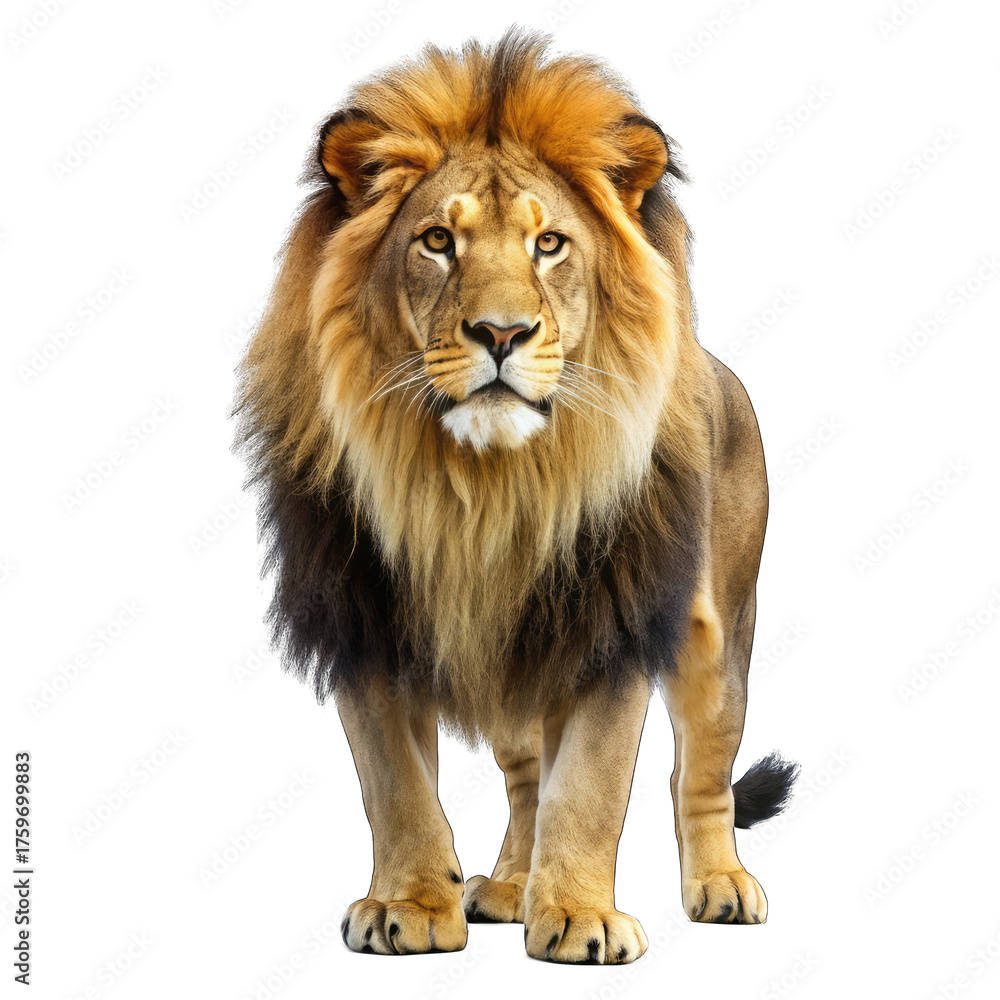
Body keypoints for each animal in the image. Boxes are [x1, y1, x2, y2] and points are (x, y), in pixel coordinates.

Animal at [233, 30, 797, 964]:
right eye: (436, 240)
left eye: (551, 245)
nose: (501, 333)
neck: (484, 488)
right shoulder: (365, 618)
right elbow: (397, 785)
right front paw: (412, 905)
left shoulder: (612, 618)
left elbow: (593, 785)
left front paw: (580, 916)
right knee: (528, 775)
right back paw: (505, 887)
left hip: (720, 631)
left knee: (702, 768)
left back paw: (721, 885)